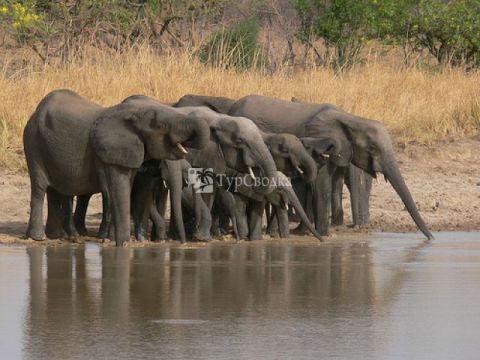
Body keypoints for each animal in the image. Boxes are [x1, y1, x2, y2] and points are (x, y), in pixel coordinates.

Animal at [23, 90, 209, 248]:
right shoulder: (109, 152)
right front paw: (121, 244)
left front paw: (121, 241)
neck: (133, 113)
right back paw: (39, 238)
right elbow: (118, 189)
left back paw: (58, 236)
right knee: (40, 187)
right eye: (161, 125)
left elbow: (131, 190)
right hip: (33, 143)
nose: (183, 244)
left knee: (55, 190)